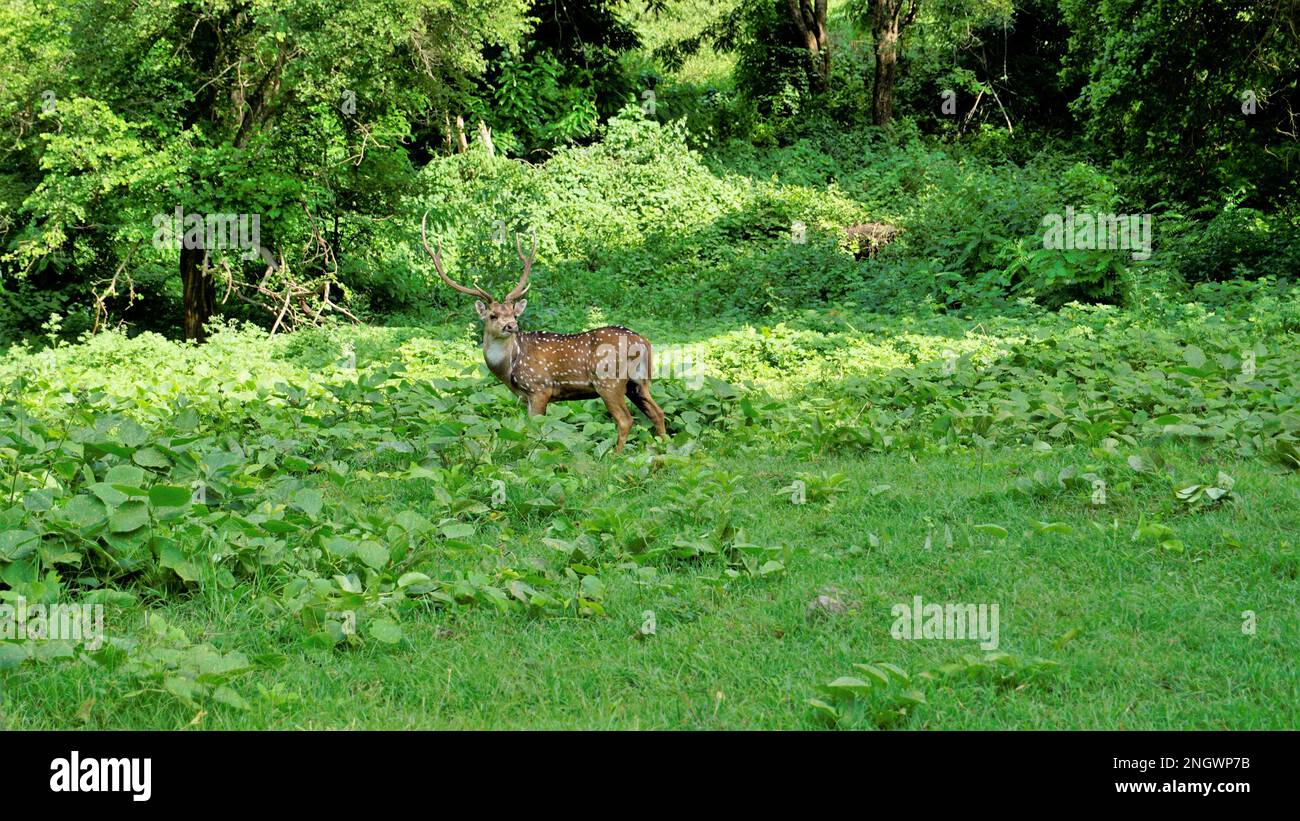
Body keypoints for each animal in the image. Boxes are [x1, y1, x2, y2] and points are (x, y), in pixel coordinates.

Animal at [423, 211, 670, 452]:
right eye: (493, 315)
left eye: (514, 314)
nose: (512, 326)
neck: (509, 368)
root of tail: (644, 343)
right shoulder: (525, 397)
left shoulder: (539, 388)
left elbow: (535, 432)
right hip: (638, 383)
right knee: (658, 412)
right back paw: (664, 448)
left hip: (609, 381)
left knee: (625, 419)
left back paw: (615, 456)